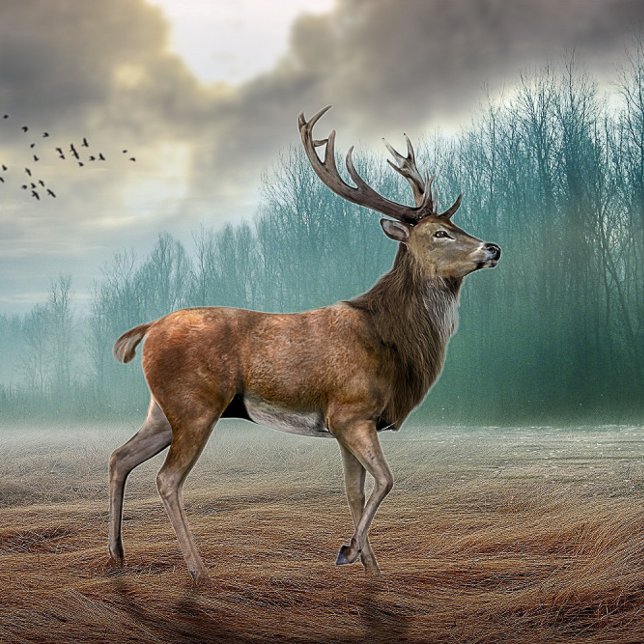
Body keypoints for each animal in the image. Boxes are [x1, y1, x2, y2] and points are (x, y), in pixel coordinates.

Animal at [107, 106, 501, 584]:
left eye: (455, 224)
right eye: (440, 233)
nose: (493, 248)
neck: (392, 341)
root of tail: (148, 329)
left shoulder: (346, 425)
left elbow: (355, 491)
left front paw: (369, 566)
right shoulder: (350, 411)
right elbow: (386, 481)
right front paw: (348, 552)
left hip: (163, 410)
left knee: (120, 457)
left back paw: (117, 556)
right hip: (195, 404)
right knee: (166, 479)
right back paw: (199, 572)